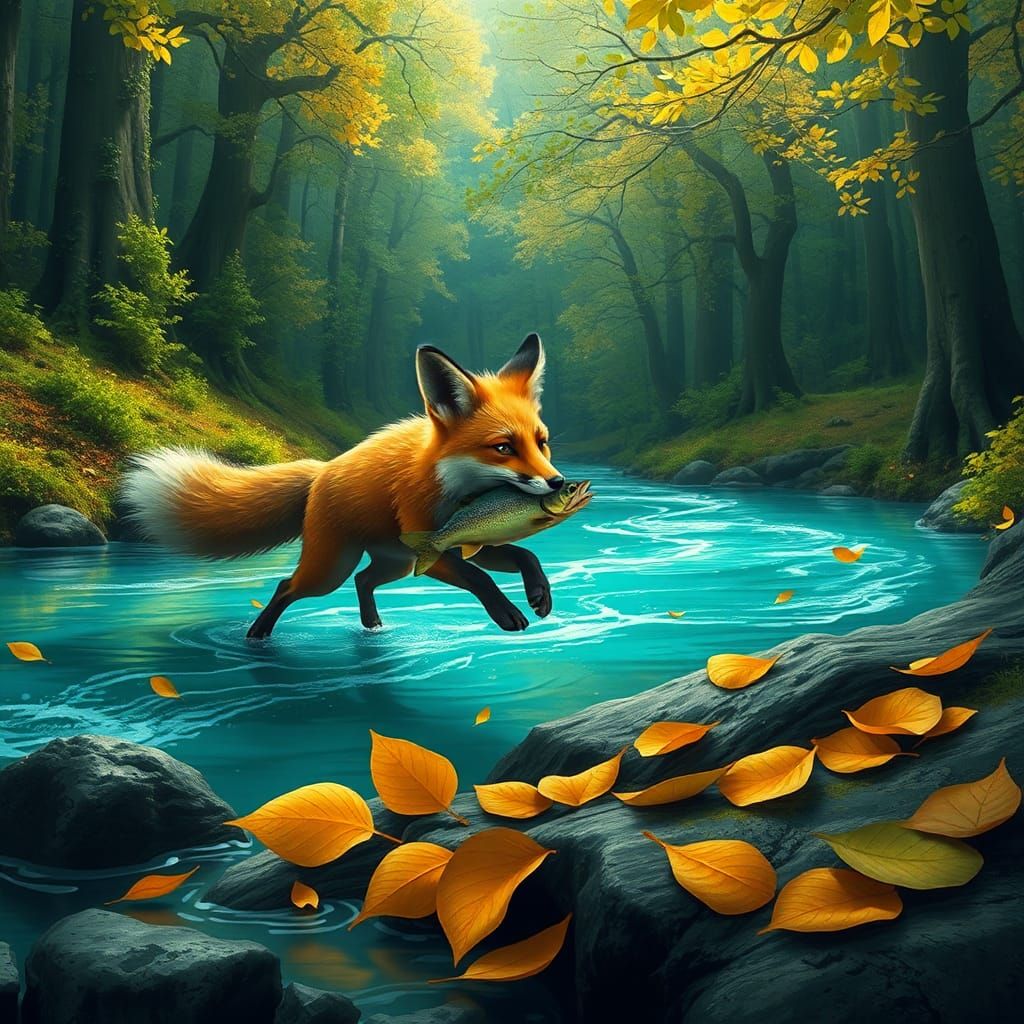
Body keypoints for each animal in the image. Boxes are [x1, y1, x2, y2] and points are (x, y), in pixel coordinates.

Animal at [121, 334, 565, 638]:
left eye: (541, 442)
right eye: (503, 447)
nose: (557, 481)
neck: (456, 489)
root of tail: (323, 470)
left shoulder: (465, 541)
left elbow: (523, 554)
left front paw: (539, 592)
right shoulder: (432, 549)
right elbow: (479, 577)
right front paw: (506, 612)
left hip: (392, 562)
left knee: (363, 580)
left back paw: (372, 626)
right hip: (331, 570)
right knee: (288, 586)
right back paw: (258, 635)